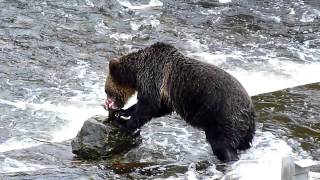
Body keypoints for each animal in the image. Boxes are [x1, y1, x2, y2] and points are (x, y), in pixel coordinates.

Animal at [104, 42, 255, 163]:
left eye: (106, 90)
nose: (108, 103)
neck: (136, 72)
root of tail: (250, 109)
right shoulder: (164, 94)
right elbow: (159, 108)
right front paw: (123, 113)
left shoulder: (154, 78)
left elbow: (148, 106)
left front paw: (123, 123)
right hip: (243, 130)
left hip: (223, 116)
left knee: (222, 145)